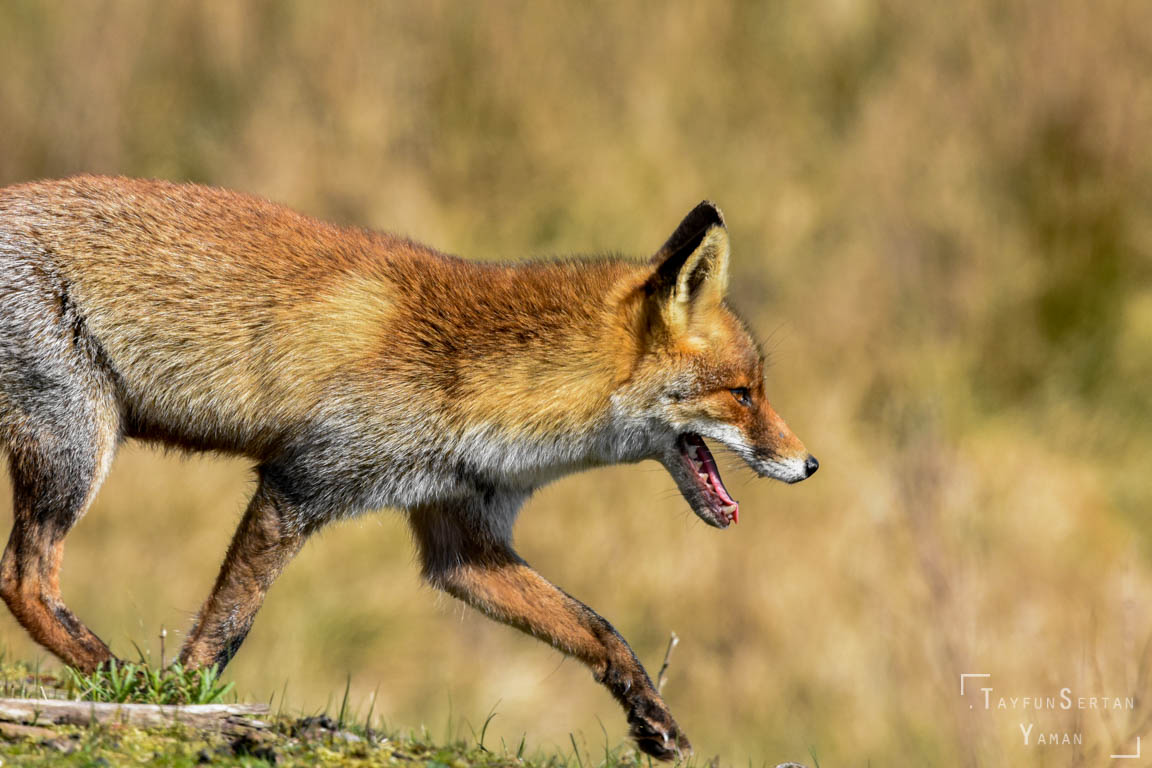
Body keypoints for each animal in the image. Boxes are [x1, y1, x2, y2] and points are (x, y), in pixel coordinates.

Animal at [0, 176, 817, 759]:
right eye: (743, 394)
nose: (809, 463)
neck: (480, 380)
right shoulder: (304, 482)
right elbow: (227, 625)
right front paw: (183, 701)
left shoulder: (463, 540)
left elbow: (598, 627)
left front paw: (652, 717)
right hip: (76, 446)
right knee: (23, 579)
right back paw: (115, 678)